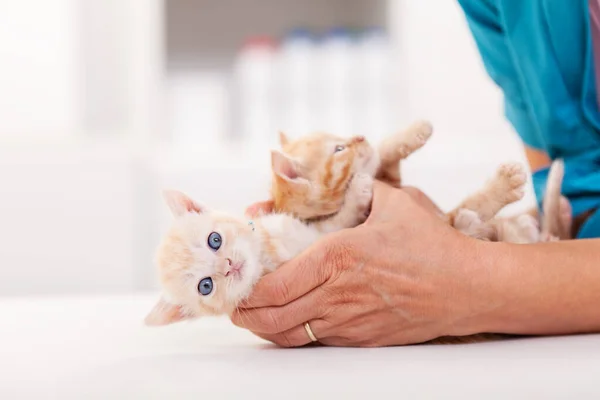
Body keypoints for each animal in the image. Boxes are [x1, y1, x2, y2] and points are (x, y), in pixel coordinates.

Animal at [144, 173, 372, 326]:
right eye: (205, 286)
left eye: (215, 240)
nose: (228, 266)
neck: (266, 257)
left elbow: (334, 225)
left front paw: (357, 196)